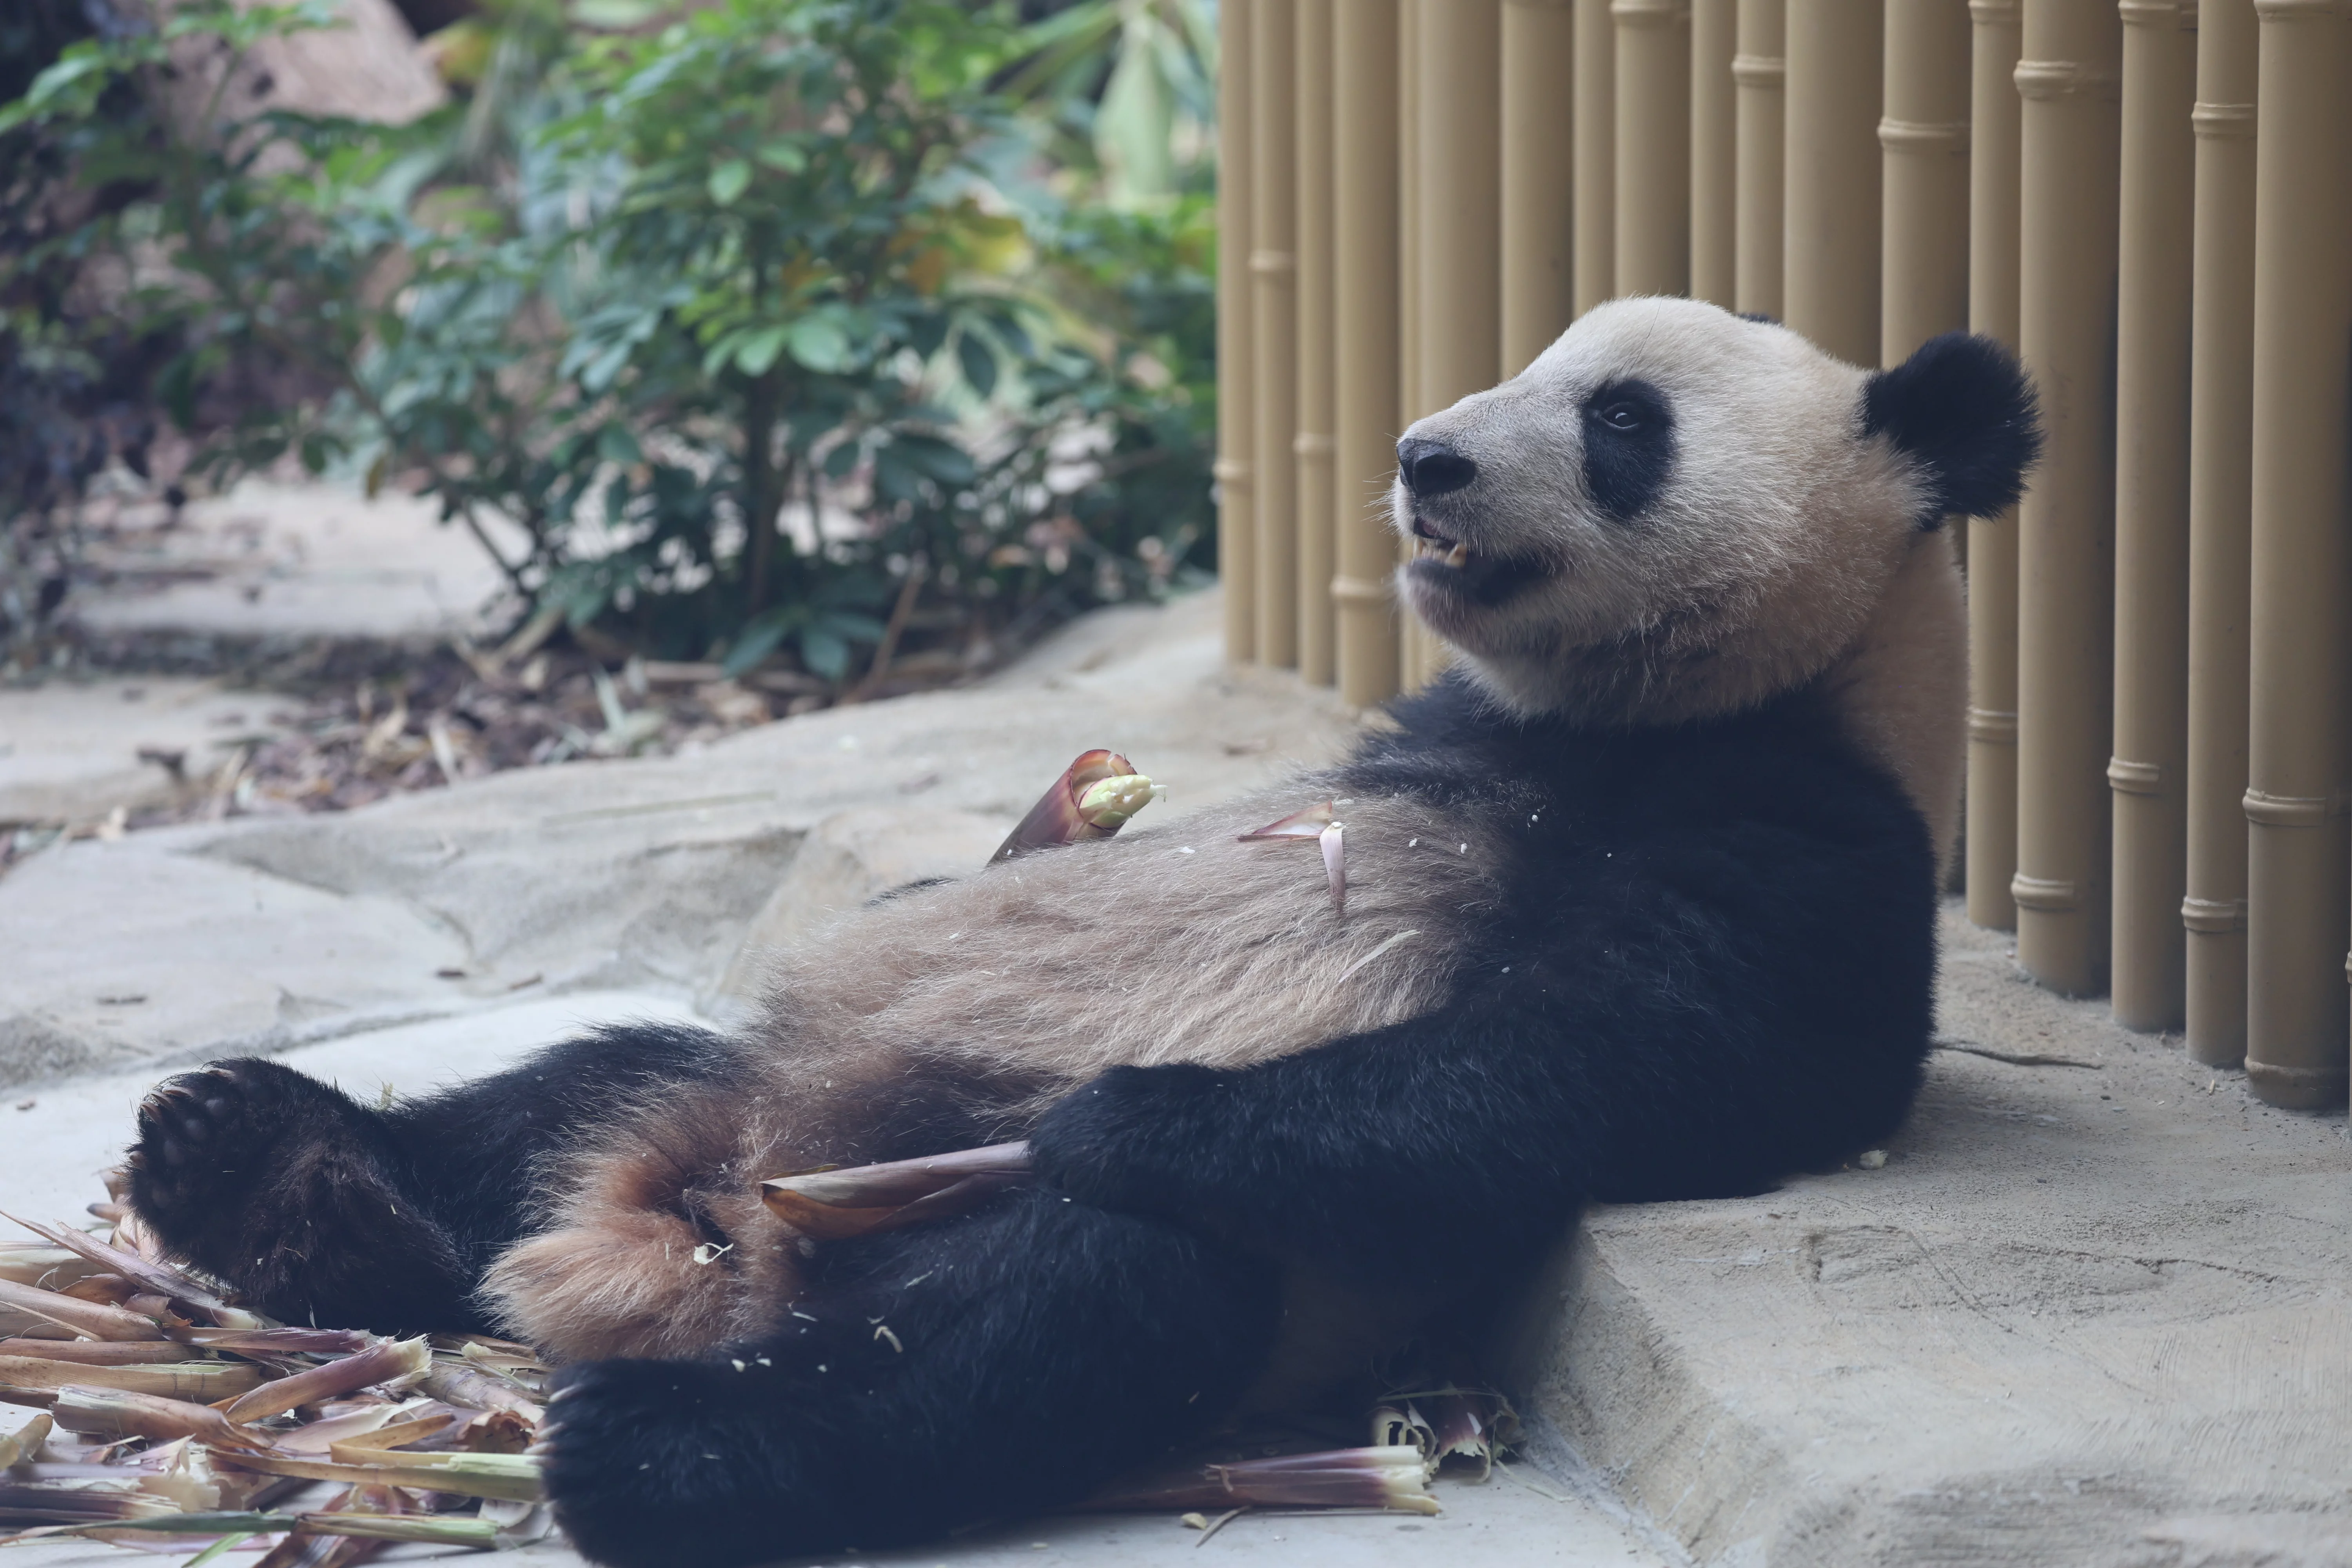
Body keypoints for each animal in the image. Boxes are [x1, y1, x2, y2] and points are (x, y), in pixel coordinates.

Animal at [125, 298, 2038, 1568]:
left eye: (1621, 418)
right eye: (1532, 364)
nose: (1424, 454)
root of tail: (707, 1241)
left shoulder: (1792, 835)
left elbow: (1605, 1057)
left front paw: (1133, 1111)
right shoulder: (1429, 728)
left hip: (1089, 1253)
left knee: (1052, 1310)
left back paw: (662, 1444)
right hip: (741, 1082)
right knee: (573, 1087)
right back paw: (264, 1167)